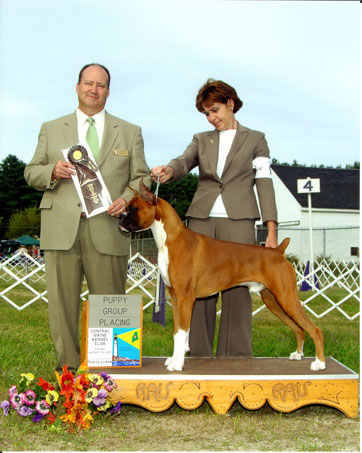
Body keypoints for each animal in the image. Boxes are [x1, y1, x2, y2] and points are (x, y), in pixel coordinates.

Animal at [119, 180, 326, 370]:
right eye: (127, 208)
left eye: (134, 208)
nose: (120, 216)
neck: (171, 239)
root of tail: (277, 251)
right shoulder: (175, 297)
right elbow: (178, 333)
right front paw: (173, 359)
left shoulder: (185, 297)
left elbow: (184, 331)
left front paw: (178, 364)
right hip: (273, 301)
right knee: (299, 328)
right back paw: (298, 354)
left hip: (286, 298)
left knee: (314, 329)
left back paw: (320, 363)